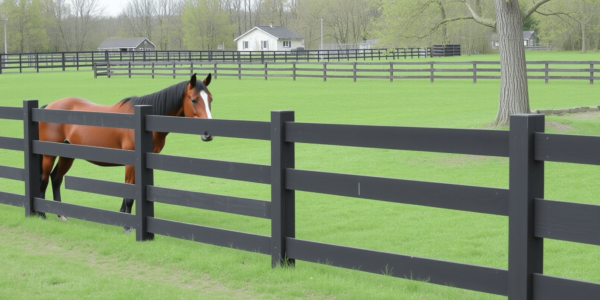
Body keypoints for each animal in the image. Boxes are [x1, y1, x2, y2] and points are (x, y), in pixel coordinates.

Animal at [39, 74, 213, 231]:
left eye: (210, 99)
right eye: (194, 99)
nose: (208, 134)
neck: (143, 123)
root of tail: (49, 106)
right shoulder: (132, 164)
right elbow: (129, 194)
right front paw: (128, 227)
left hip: (67, 154)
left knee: (56, 178)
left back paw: (61, 215)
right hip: (49, 155)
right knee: (45, 178)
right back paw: (41, 214)